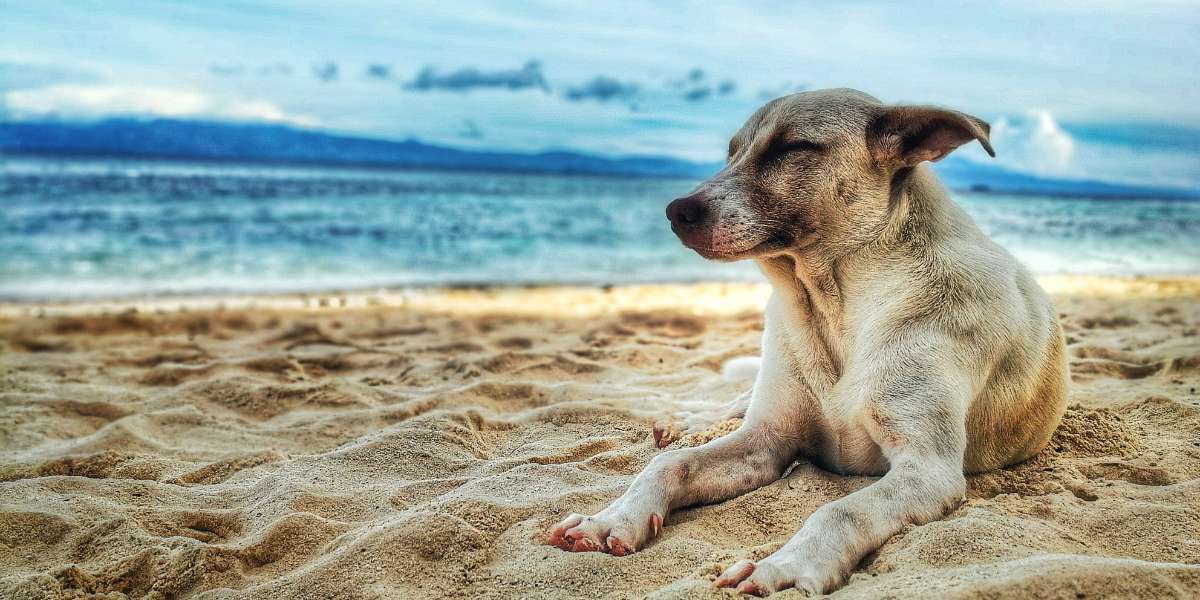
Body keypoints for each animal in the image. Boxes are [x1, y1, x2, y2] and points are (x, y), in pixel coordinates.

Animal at [549, 87, 1065, 595]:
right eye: (732, 152)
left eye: (792, 147)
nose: (677, 211)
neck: (832, 307)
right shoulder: (766, 439)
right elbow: (671, 465)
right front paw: (612, 519)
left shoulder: (927, 470)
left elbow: (840, 510)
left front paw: (784, 567)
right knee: (728, 409)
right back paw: (691, 421)